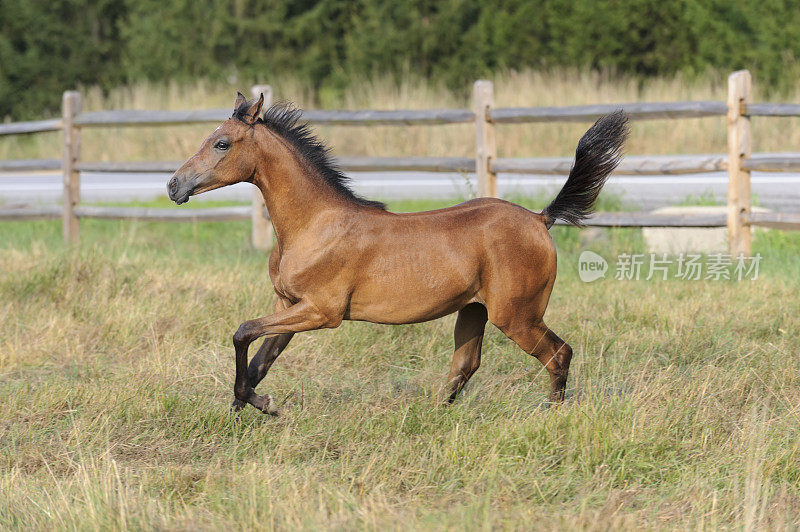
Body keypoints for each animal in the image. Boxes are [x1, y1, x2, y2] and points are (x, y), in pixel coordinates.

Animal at [167, 92, 632, 416]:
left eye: (222, 143)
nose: (174, 185)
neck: (314, 223)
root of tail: (540, 218)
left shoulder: (321, 311)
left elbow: (242, 331)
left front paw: (262, 406)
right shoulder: (288, 305)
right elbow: (258, 360)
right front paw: (242, 411)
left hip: (516, 314)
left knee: (557, 353)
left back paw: (551, 415)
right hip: (474, 311)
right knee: (464, 366)